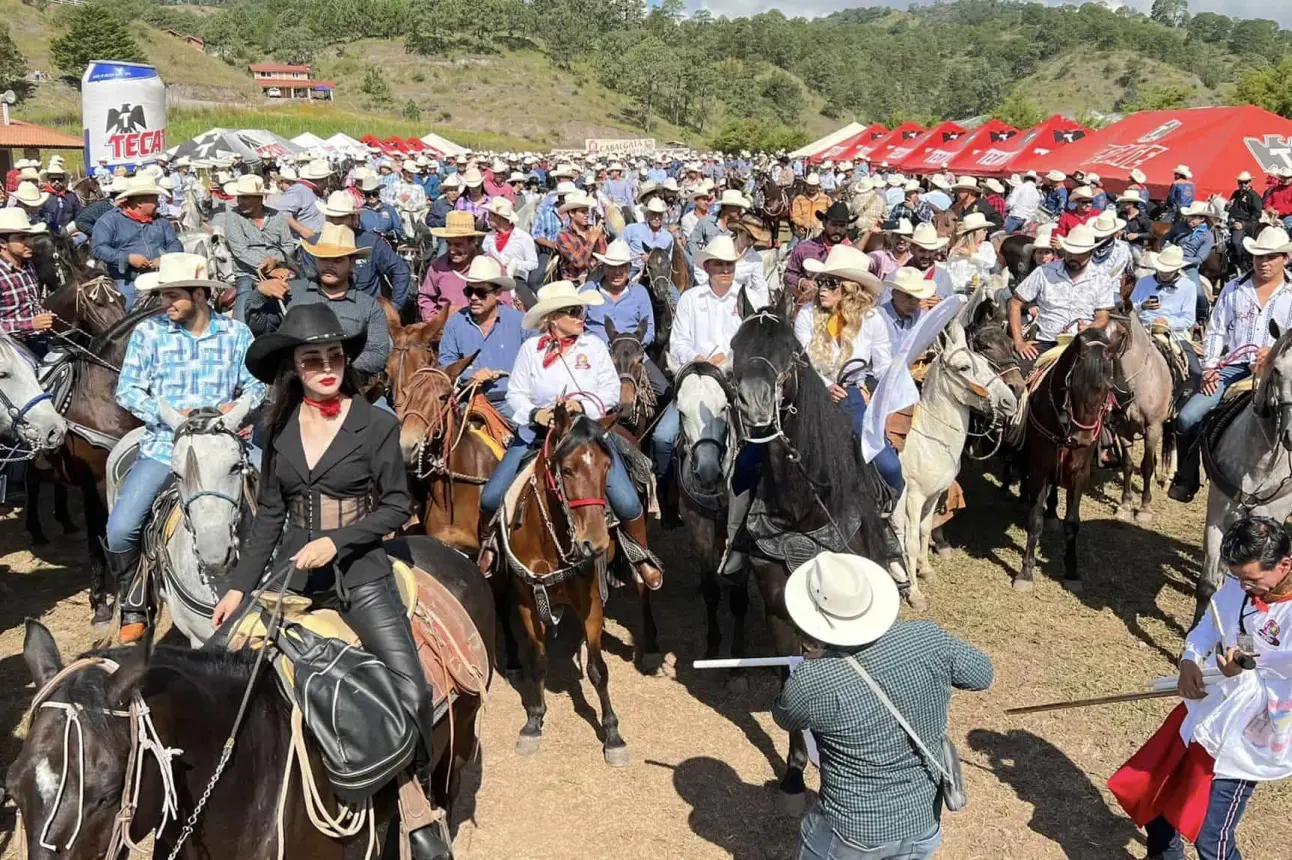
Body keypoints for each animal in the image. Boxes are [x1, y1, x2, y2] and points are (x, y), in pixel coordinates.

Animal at [501, 408, 633, 764]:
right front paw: (534, 721)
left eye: (606, 466)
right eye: (568, 469)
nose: (595, 543)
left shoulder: (591, 604)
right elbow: (538, 660)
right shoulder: (527, 602)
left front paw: (613, 735)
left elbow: (598, 669)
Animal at [888, 317, 1018, 606]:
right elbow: (909, 540)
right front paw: (915, 592)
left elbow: (925, 530)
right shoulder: (912, 497)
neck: (929, 438)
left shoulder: (934, 495)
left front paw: (925, 570)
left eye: (985, 362)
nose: (1010, 400)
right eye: (964, 367)